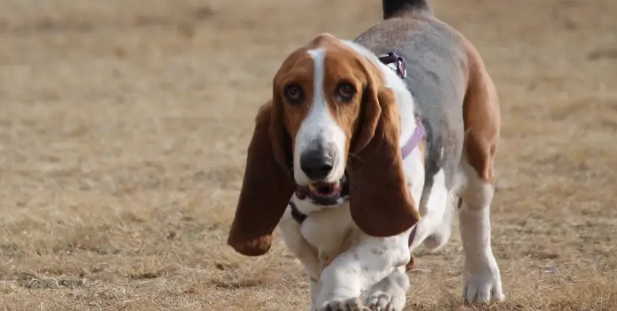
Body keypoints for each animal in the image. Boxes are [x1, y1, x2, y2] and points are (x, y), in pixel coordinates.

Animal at [229, 1, 502, 310]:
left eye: (346, 90)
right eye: (293, 92)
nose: (316, 164)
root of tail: (415, 12)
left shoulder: (385, 240)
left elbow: (341, 268)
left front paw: (339, 299)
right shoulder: (300, 240)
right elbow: (319, 276)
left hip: (479, 160)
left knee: (475, 219)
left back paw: (483, 281)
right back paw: (389, 292)